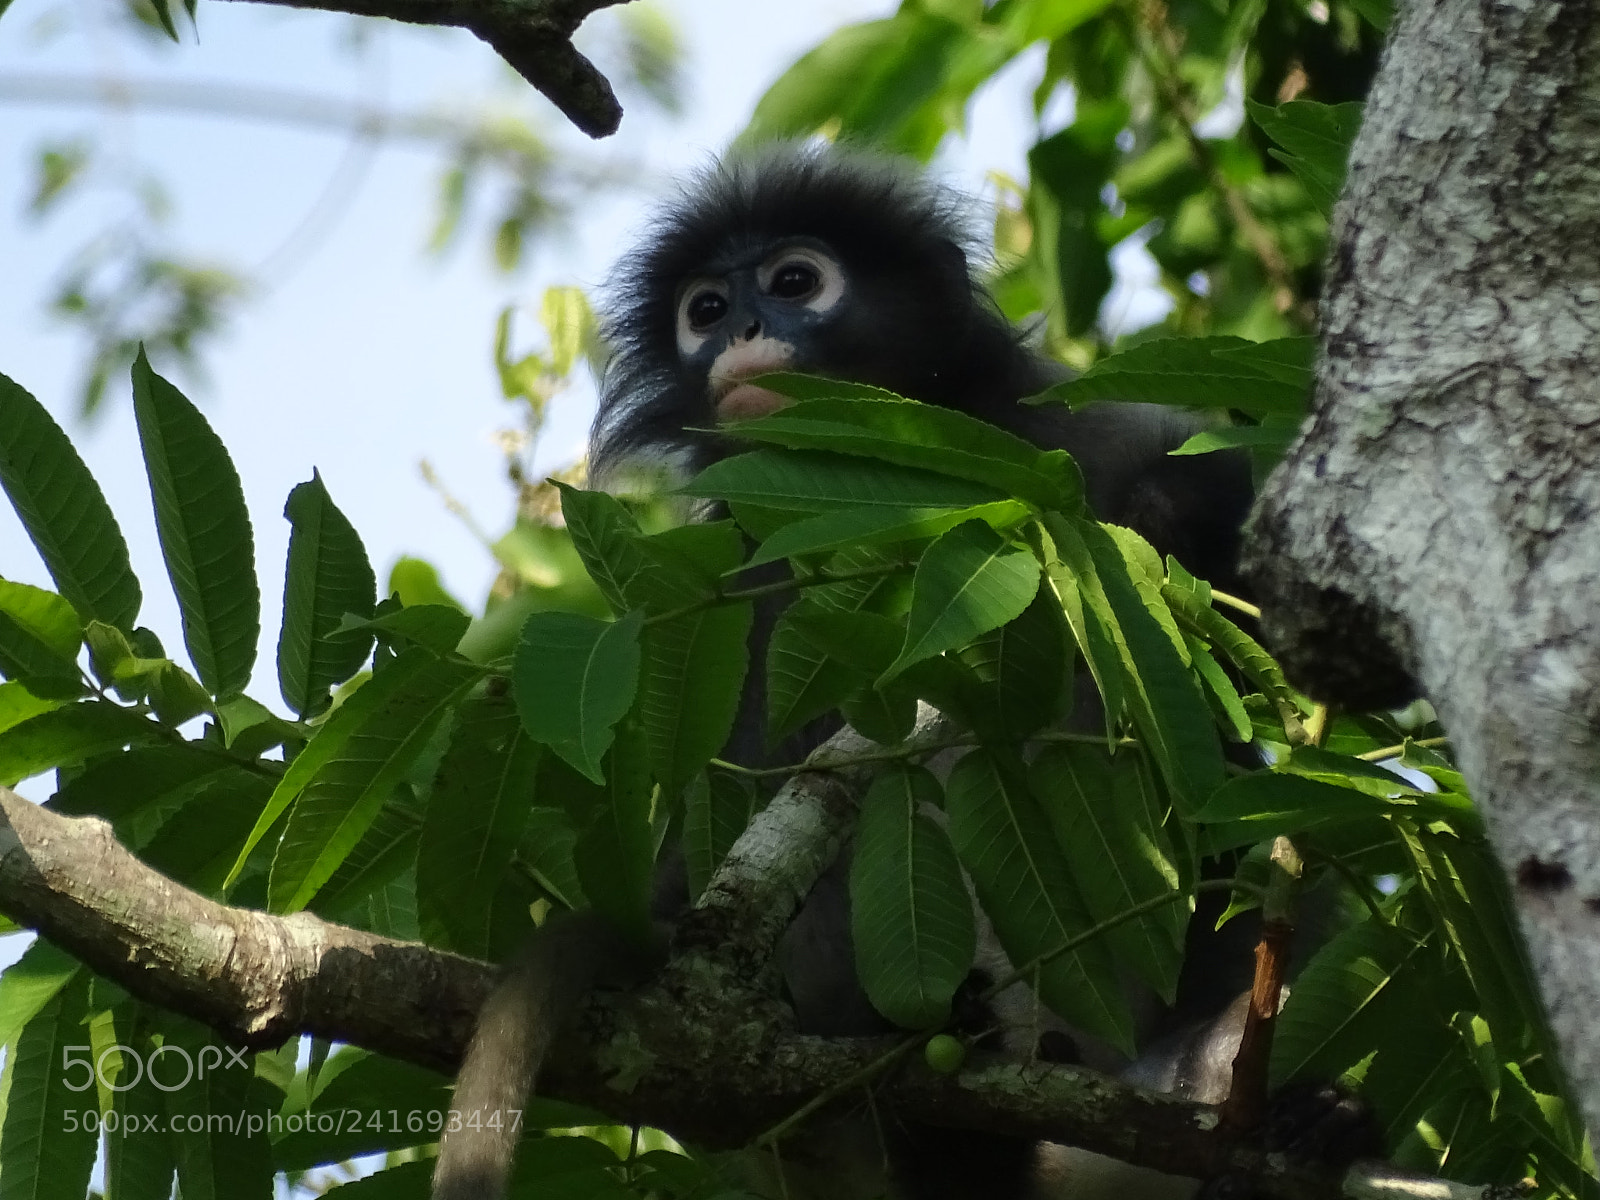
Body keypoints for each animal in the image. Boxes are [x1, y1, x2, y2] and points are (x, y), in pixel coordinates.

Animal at [433, 143, 1367, 1200]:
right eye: (704, 309)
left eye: (795, 282)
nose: (742, 327)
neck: (889, 486)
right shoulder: (748, 575)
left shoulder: (1069, 441)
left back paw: (1298, 1118)